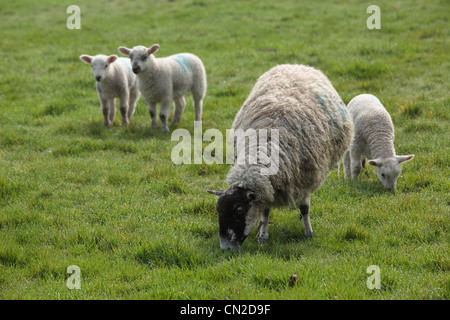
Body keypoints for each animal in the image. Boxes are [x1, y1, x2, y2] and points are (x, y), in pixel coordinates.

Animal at [208, 64, 356, 250]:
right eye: (218, 211)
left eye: (239, 211)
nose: (226, 248)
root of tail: (296, 65)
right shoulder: (268, 186)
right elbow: (265, 210)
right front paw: (263, 236)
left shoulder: (306, 179)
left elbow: (304, 208)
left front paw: (308, 233)